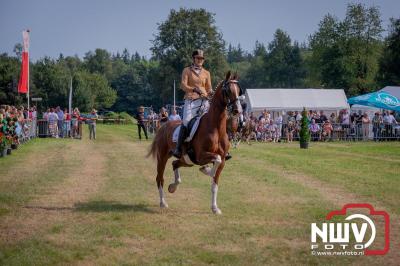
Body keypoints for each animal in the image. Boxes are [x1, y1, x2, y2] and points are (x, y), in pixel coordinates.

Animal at [146, 71, 241, 215]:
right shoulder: (202, 155)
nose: (237, 110)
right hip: (162, 158)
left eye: (239, 90)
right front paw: (206, 170)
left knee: (175, 164)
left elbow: (215, 184)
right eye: (228, 90)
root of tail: (164, 125)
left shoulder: (223, 160)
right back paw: (163, 203)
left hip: (187, 161)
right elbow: (215, 161)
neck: (216, 128)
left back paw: (173, 187)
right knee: (160, 178)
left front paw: (215, 208)